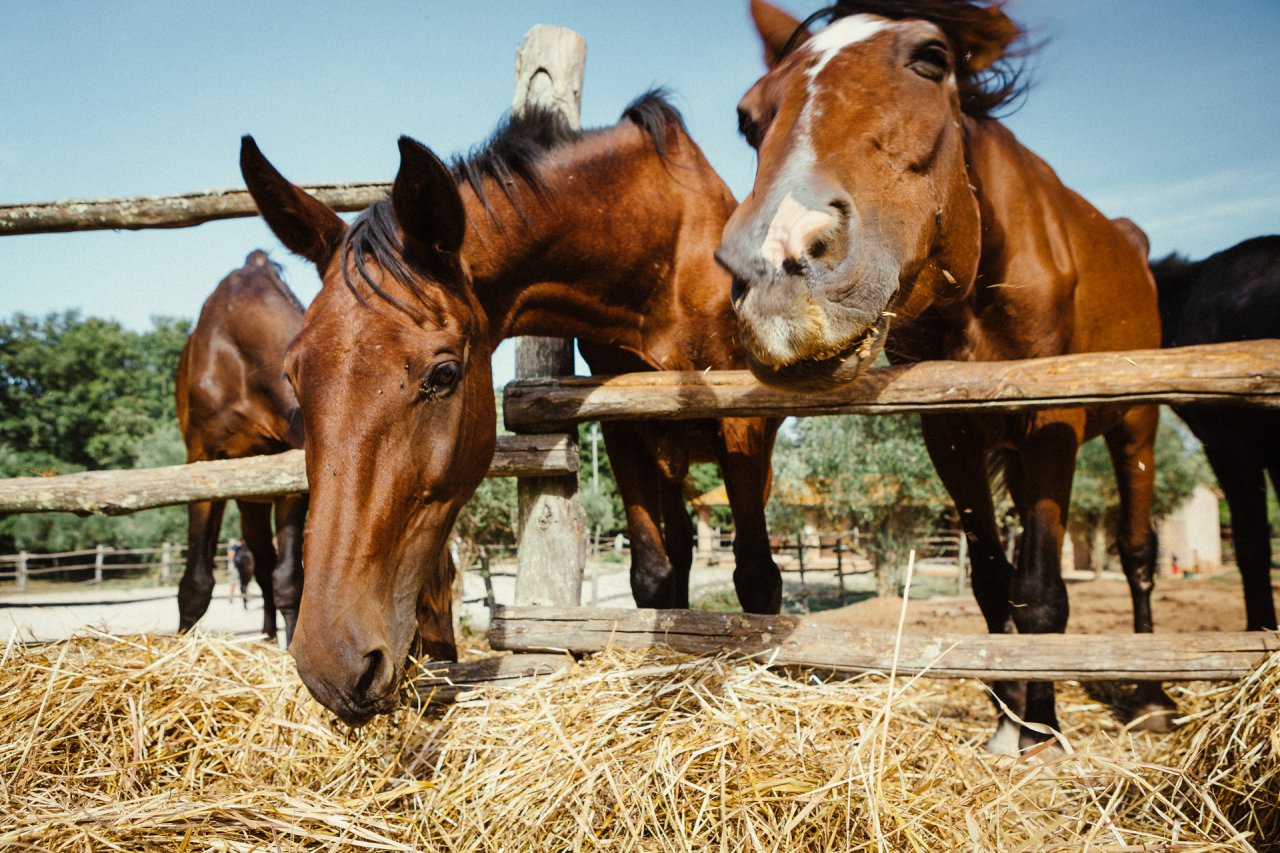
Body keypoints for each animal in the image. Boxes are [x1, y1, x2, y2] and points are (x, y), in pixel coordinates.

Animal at [716, 3, 1172, 753]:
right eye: (748, 118)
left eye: (931, 60)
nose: (778, 266)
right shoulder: (950, 430)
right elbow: (993, 583)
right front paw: (1011, 717)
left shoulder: (1056, 419)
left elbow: (1041, 590)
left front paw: (1041, 728)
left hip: (1136, 423)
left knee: (1137, 554)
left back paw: (1154, 694)